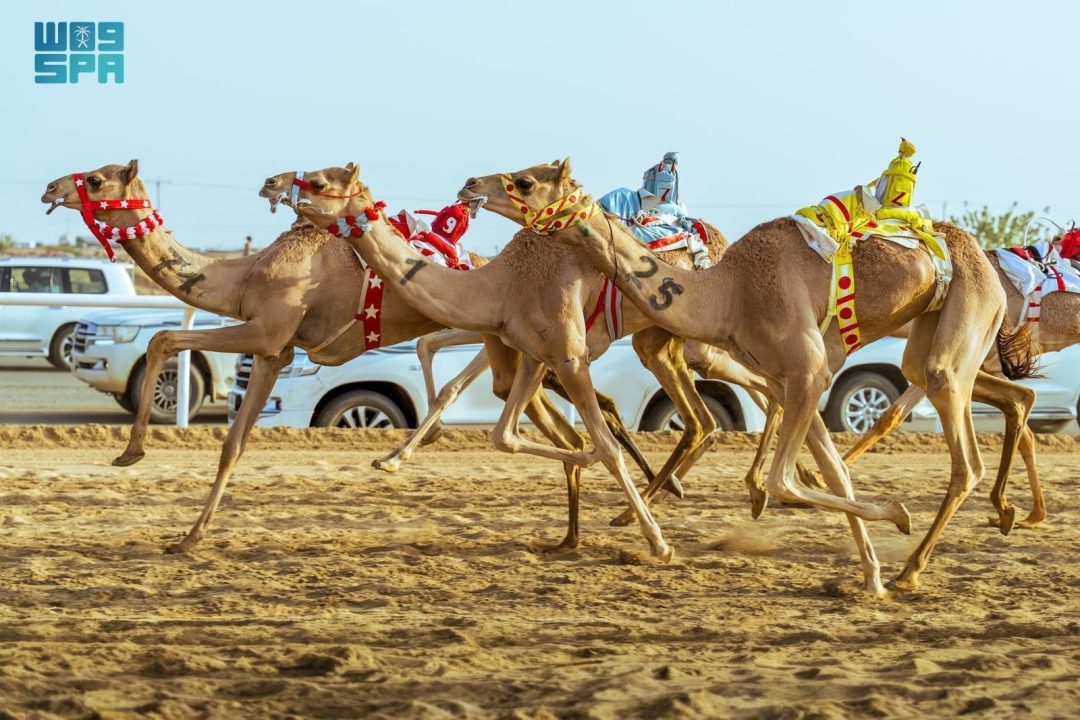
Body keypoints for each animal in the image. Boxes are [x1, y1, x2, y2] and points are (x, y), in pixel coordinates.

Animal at [40, 161, 655, 553]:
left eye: (94, 178)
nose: (49, 188)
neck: (242, 275)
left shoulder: (266, 333)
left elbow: (163, 339)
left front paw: (130, 454)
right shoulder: (276, 353)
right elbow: (233, 442)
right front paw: (189, 536)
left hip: (508, 343)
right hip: (512, 348)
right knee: (557, 415)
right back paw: (581, 528)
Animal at [458, 159, 1040, 593]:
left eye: (526, 180)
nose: (469, 185)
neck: (728, 291)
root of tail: (988, 259)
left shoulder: (806, 369)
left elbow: (789, 480)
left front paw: (895, 515)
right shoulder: (790, 377)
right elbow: (832, 471)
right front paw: (870, 573)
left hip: (962, 323)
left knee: (964, 452)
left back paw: (917, 565)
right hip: (926, 335)